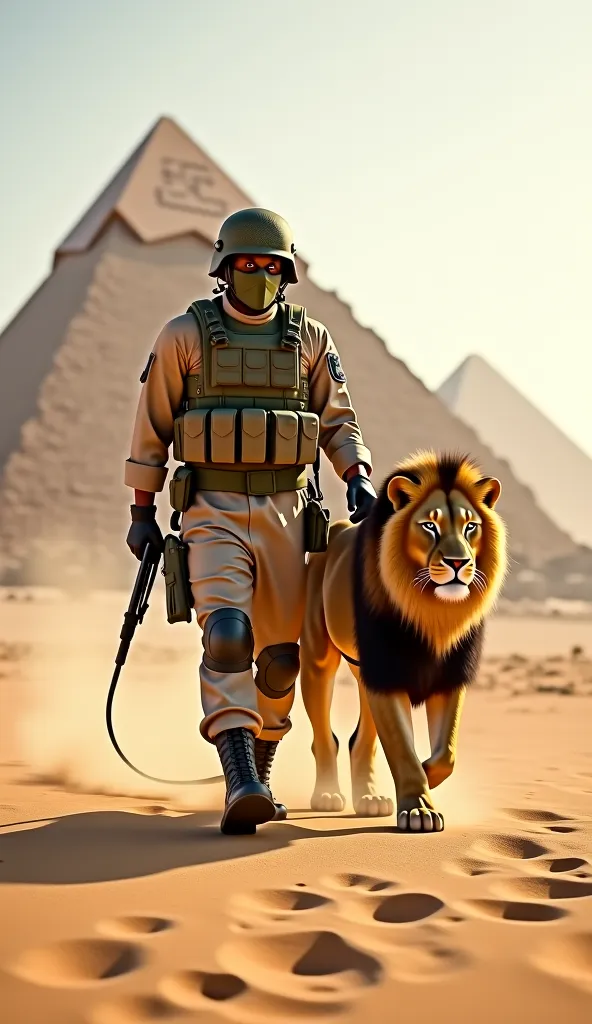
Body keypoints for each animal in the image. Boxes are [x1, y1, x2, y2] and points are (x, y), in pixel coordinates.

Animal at [299, 450, 508, 831]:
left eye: (471, 526)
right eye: (430, 526)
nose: (458, 563)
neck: (433, 612)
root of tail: (337, 529)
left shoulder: (449, 674)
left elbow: (446, 753)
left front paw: (428, 774)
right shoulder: (387, 671)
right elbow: (401, 748)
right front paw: (418, 810)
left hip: (364, 670)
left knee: (360, 741)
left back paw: (369, 799)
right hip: (319, 659)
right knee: (324, 736)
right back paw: (327, 794)